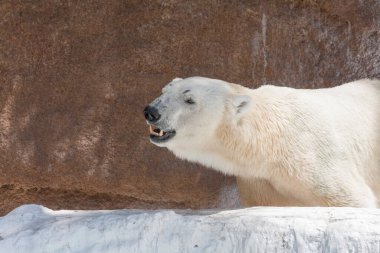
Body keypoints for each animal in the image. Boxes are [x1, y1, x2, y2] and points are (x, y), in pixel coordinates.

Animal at [143, 77, 380, 208]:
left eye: (189, 100)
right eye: (164, 90)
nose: (151, 111)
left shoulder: (316, 159)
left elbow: (353, 198)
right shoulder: (259, 180)